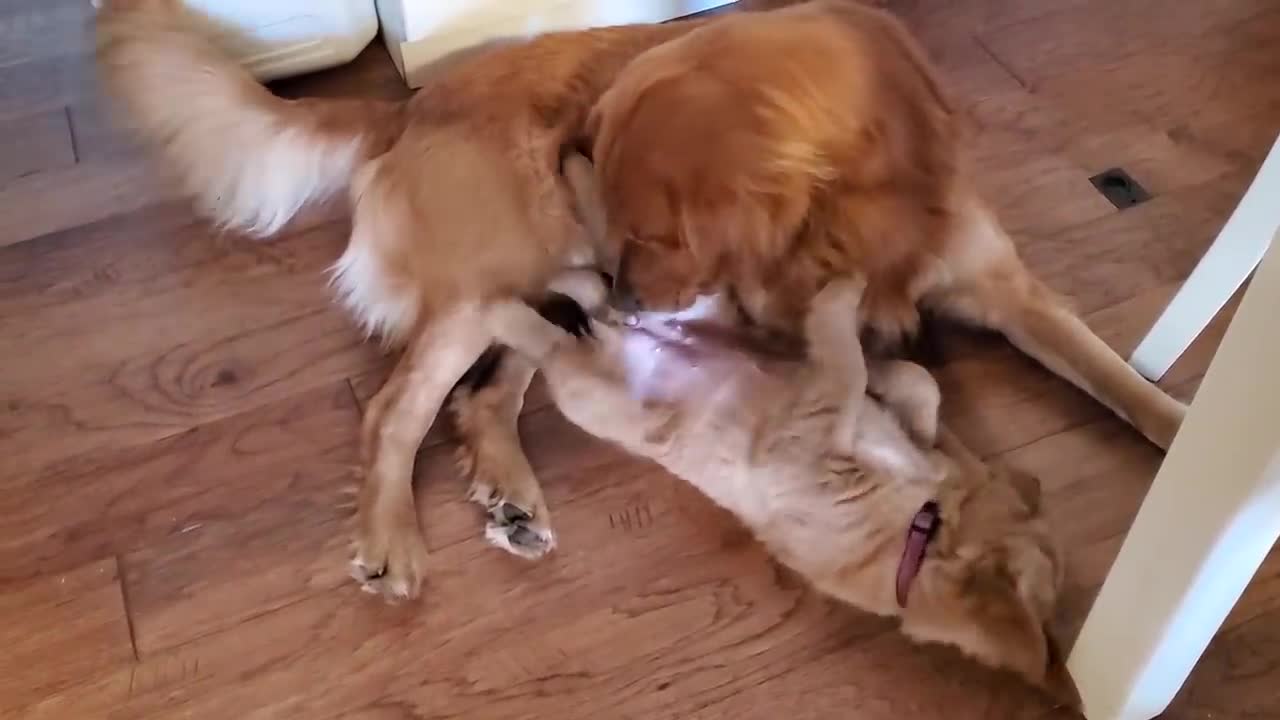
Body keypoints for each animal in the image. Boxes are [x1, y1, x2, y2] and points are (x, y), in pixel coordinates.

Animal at [93, 0, 732, 597]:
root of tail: (411, 107)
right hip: (496, 270)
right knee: (395, 409)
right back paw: (392, 537)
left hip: (530, 270)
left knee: (487, 392)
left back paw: (512, 497)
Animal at [471, 271, 1080, 702]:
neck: (918, 536)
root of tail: (633, 334)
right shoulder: (836, 412)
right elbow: (909, 380)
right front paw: (922, 425)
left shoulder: (816, 424)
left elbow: (848, 364)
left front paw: (844, 298)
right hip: (692, 306)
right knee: (597, 293)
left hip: (593, 381)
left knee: (554, 337)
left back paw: (500, 308)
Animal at [588, 0, 1187, 448]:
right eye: (621, 228)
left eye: (652, 236)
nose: (620, 297)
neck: (846, 200)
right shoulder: (788, 326)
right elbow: (890, 370)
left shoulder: (1005, 288)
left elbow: (1115, 379)